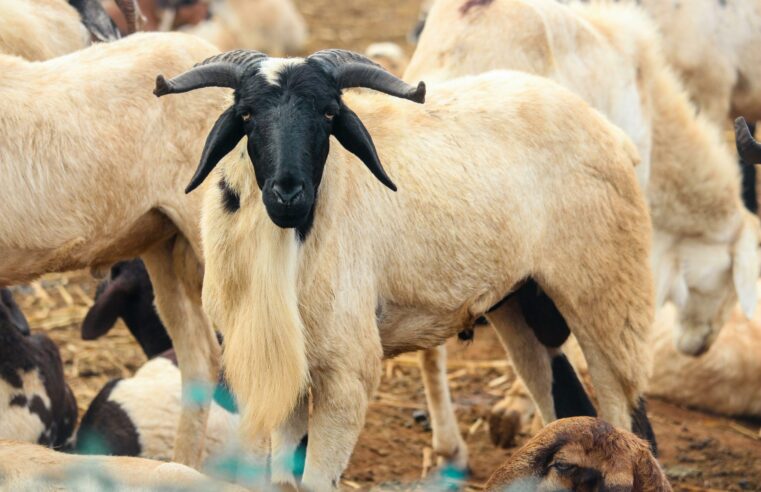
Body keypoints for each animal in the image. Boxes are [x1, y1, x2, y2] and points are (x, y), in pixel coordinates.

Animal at [154, 48, 655, 490]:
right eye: (245, 115)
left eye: (330, 114)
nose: (288, 192)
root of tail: (610, 131)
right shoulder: (288, 370)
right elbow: (283, 480)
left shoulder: (347, 372)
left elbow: (315, 482)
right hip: (523, 303)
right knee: (566, 405)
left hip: (608, 294)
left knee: (629, 422)